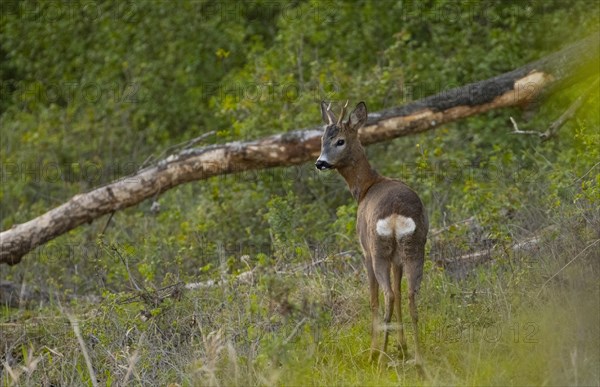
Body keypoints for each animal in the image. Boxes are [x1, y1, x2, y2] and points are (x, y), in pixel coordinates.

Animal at [316, 101, 428, 370]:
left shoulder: (364, 250)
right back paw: (418, 359)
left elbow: (373, 298)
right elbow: (399, 292)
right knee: (409, 295)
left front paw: (376, 350)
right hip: (414, 247)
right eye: (322, 139)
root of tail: (396, 215)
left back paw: (379, 357)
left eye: (340, 141)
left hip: (378, 250)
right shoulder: (397, 260)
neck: (366, 188)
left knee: (386, 296)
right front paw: (402, 346)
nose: (320, 162)